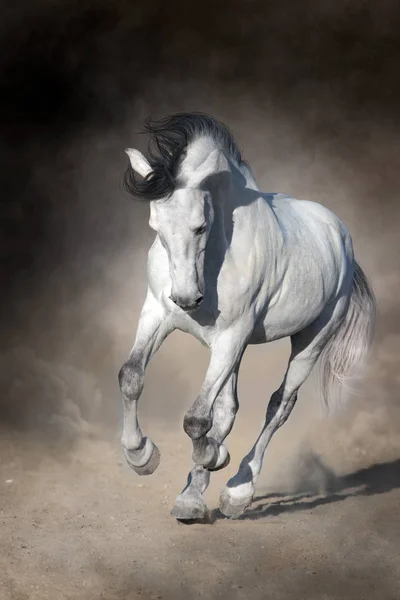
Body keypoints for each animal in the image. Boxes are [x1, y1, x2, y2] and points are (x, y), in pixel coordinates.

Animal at [118, 112, 376, 520]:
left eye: (199, 226)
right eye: (155, 228)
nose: (186, 299)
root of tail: (340, 235)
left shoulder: (231, 335)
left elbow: (197, 419)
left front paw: (213, 457)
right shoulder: (158, 313)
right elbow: (132, 377)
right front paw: (141, 456)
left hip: (311, 340)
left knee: (279, 405)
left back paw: (237, 490)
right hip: (234, 350)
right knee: (228, 408)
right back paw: (192, 497)